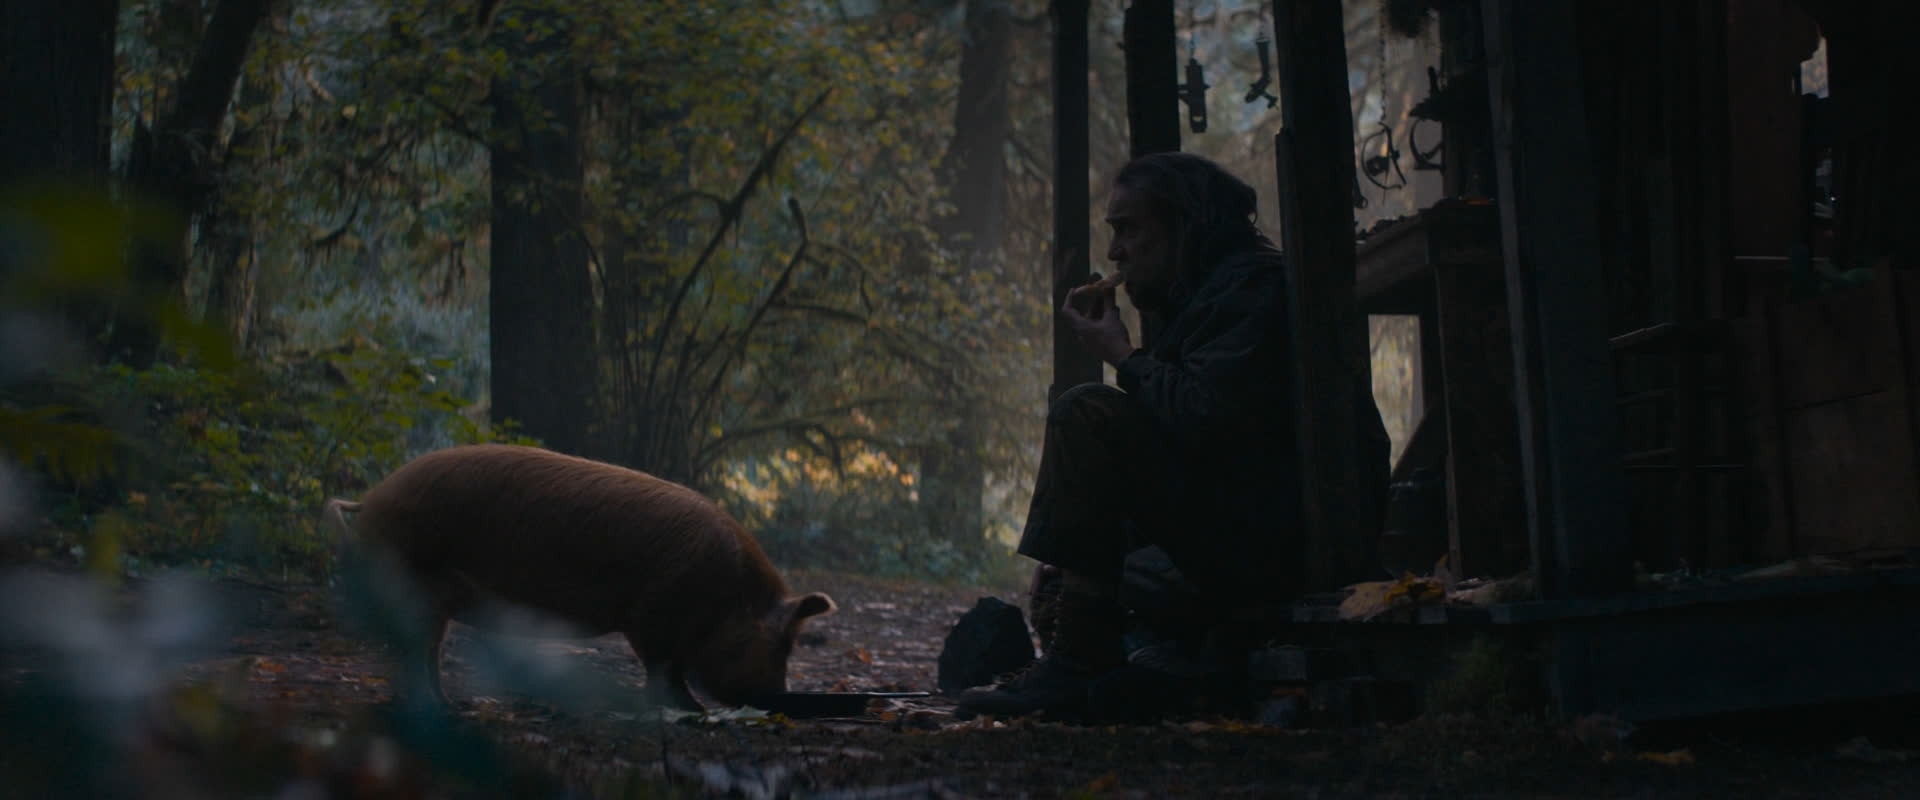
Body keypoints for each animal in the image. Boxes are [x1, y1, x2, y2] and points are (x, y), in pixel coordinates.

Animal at [324, 443, 833, 709]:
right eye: (783, 644)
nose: (779, 698)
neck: (724, 594)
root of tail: (371, 500)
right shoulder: (651, 616)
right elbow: (663, 667)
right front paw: (691, 711)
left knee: (422, 649)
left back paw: (448, 705)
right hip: (409, 579)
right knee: (414, 649)